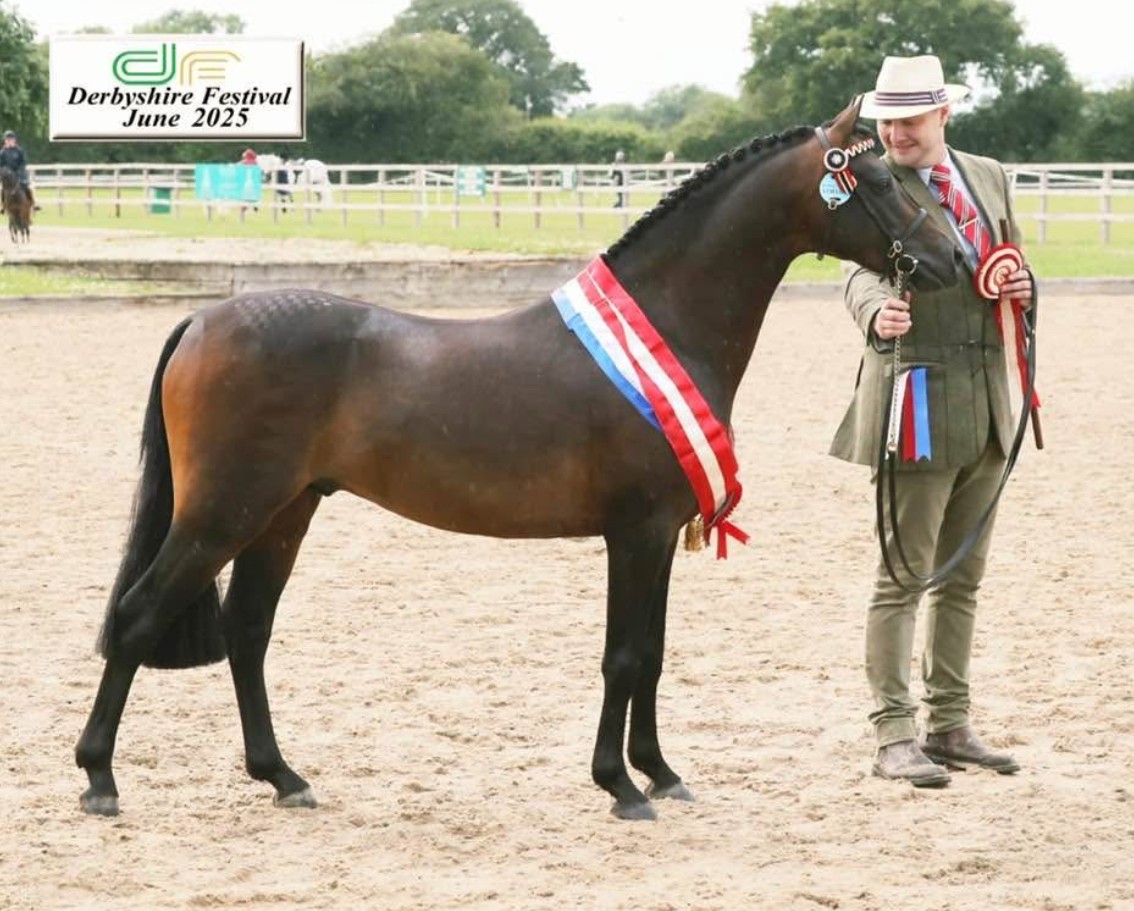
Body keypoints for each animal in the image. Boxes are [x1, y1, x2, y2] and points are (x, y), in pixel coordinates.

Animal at [74, 98, 960, 821]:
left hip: (283, 513)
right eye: (874, 178)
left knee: (248, 630)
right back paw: (100, 778)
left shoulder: (661, 537)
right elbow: (623, 655)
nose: (948, 259)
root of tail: (202, 320)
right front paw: (621, 785)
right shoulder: (634, 533)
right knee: (139, 615)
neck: (667, 323)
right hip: (222, 513)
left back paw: (282, 776)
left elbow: (653, 654)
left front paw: (662, 771)